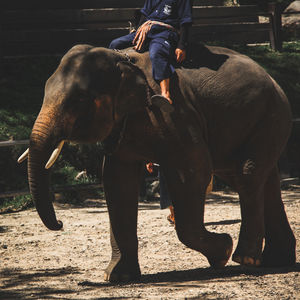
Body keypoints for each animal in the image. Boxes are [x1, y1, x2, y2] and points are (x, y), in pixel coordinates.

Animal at [18, 43, 296, 282]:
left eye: (79, 101)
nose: (60, 223)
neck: (121, 60)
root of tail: (272, 78)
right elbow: (117, 181)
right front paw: (117, 277)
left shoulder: (172, 114)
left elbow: (194, 169)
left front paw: (222, 251)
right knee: (260, 179)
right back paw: (275, 261)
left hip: (270, 116)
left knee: (248, 175)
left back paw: (245, 258)